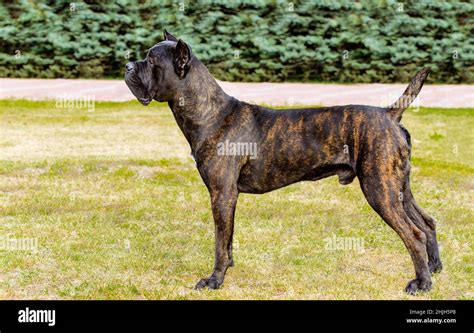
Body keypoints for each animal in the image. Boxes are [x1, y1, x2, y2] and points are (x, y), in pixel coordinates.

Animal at [124, 31, 442, 294]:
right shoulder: (227, 198)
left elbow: (218, 242)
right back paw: (434, 269)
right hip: (398, 187)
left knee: (413, 234)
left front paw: (214, 280)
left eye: (151, 60)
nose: (127, 66)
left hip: (379, 189)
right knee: (426, 223)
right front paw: (228, 267)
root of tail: (390, 114)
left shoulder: (221, 194)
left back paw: (421, 284)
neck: (210, 113)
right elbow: (227, 238)